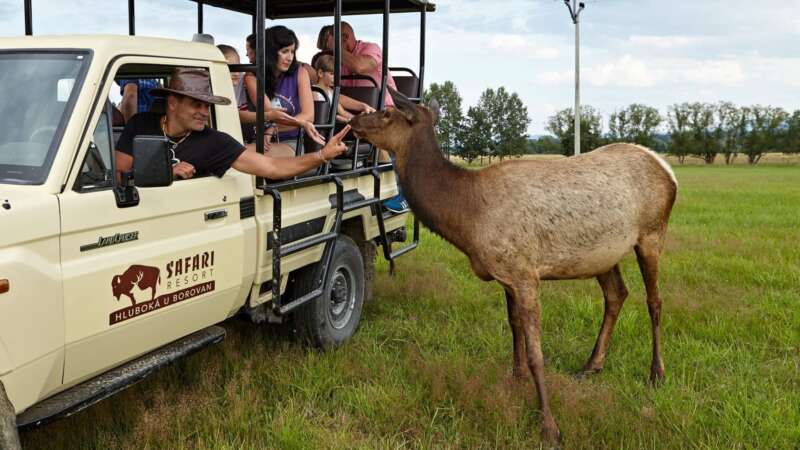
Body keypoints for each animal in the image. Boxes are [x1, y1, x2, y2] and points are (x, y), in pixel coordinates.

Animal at [348, 89, 676, 444]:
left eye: (386, 113)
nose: (354, 119)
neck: (467, 217)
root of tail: (666, 169)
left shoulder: (524, 272)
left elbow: (536, 352)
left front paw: (548, 424)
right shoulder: (505, 274)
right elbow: (513, 327)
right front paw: (515, 380)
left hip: (652, 232)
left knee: (654, 300)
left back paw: (656, 373)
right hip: (604, 254)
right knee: (617, 294)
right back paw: (592, 365)